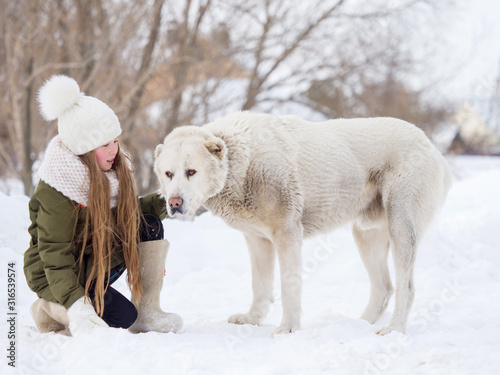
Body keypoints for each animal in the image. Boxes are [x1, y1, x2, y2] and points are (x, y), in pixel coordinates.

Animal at [153, 111, 454, 338]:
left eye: (191, 171)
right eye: (168, 173)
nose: (175, 202)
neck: (241, 162)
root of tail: (431, 147)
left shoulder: (287, 234)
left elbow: (288, 287)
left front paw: (287, 329)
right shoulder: (257, 240)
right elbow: (259, 286)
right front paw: (252, 319)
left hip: (401, 225)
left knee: (406, 287)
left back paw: (394, 330)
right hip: (366, 233)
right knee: (383, 288)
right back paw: (357, 325)